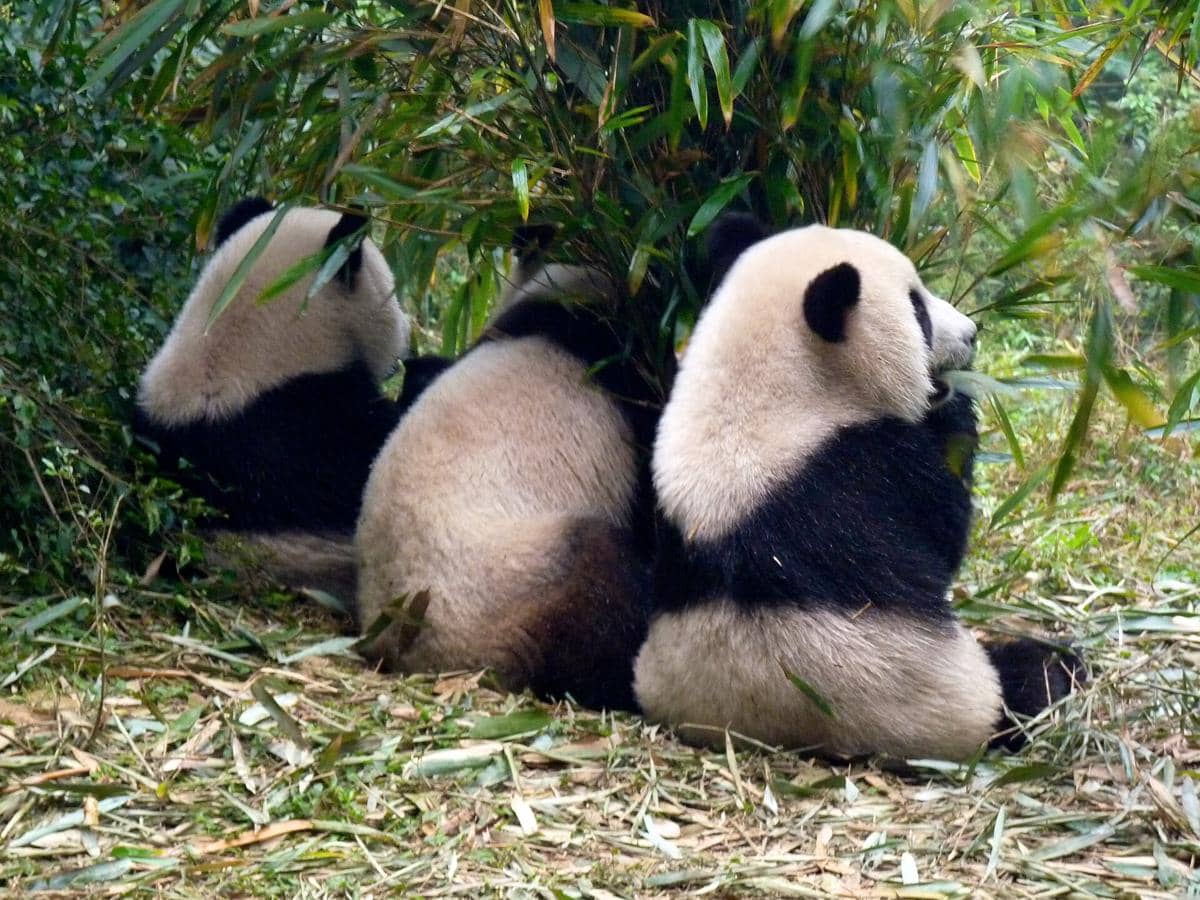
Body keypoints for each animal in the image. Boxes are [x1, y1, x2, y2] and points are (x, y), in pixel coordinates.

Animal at [633, 214, 1082, 759]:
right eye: (917, 309)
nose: (973, 334)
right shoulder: (869, 466)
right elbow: (943, 528)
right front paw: (957, 404)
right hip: (950, 695)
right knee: (1025, 680)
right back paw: (1057, 669)